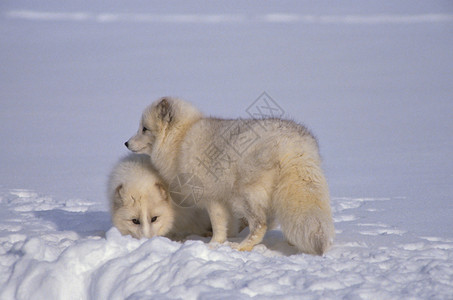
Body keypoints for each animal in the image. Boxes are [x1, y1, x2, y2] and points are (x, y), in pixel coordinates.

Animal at [125, 97, 334, 254]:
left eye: (144, 129)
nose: (126, 143)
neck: (181, 138)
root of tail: (294, 145)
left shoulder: (212, 197)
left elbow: (218, 225)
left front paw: (213, 245)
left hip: (245, 195)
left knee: (260, 225)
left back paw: (241, 247)